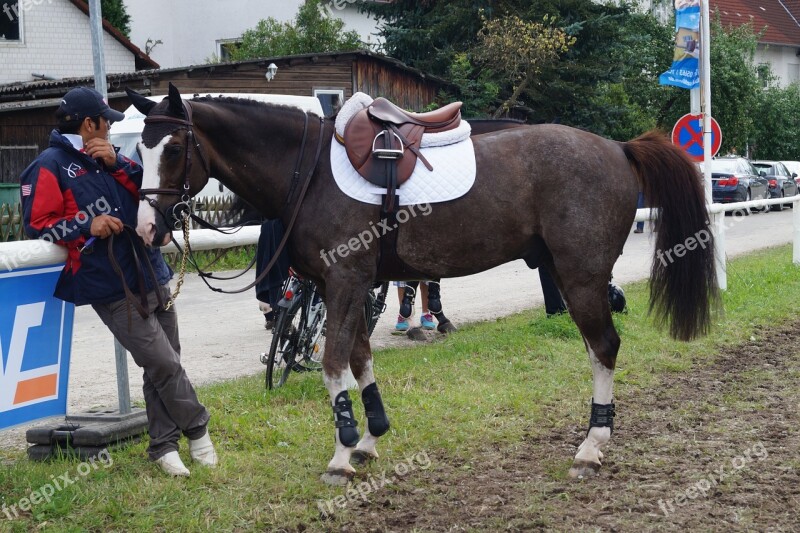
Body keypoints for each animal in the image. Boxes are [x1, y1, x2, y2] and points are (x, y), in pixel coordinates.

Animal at [126, 82, 720, 482]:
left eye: (173, 149)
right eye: (138, 151)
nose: (146, 228)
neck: (310, 170)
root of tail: (617, 148)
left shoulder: (344, 281)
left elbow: (334, 364)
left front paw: (341, 454)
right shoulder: (351, 286)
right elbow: (360, 360)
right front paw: (368, 438)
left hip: (581, 277)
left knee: (604, 347)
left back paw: (592, 445)